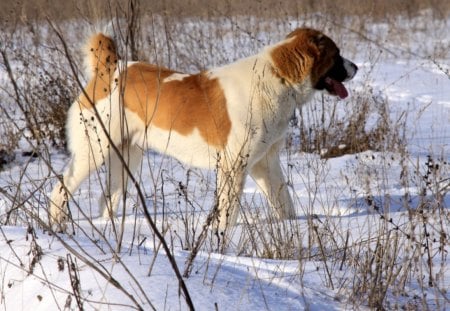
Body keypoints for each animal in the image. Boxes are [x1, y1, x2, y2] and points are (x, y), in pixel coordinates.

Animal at [49, 28, 356, 235]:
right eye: (337, 55)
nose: (355, 67)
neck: (278, 77)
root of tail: (110, 69)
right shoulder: (233, 166)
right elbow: (228, 213)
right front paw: (223, 242)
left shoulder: (265, 163)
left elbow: (284, 202)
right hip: (93, 151)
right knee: (60, 190)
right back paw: (57, 225)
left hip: (127, 157)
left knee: (107, 198)